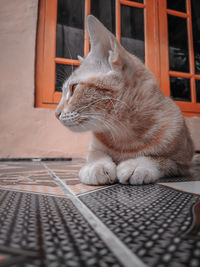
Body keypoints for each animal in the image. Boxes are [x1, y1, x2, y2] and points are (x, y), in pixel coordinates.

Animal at [54, 15, 194, 186]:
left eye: (73, 88)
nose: (56, 114)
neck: (123, 135)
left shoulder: (183, 163)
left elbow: (160, 159)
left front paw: (138, 164)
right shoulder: (95, 148)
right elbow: (95, 155)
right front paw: (96, 166)